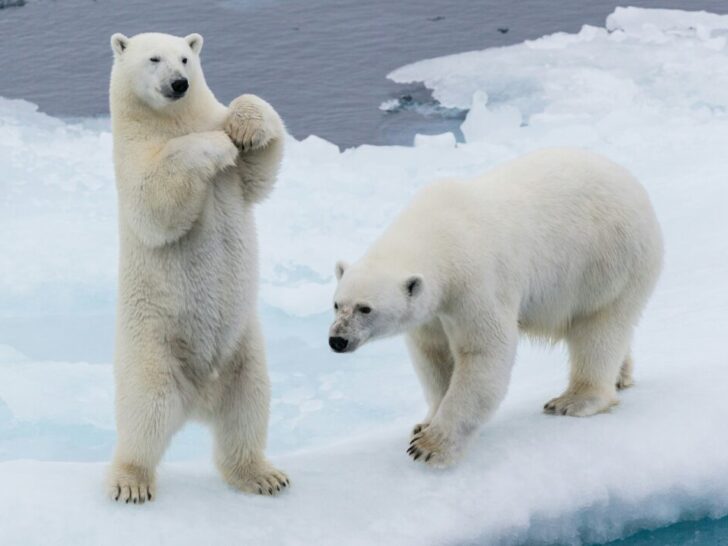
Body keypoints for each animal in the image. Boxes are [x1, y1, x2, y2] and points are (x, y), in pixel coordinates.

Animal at [107, 31, 288, 503]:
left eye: (186, 58)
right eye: (154, 59)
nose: (179, 84)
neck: (171, 120)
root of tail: (199, 400)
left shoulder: (237, 177)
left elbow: (261, 170)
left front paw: (243, 127)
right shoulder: (132, 156)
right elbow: (155, 202)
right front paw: (217, 145)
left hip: (243, 352)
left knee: (247, 408)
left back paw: (263, 475)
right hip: (151, 348)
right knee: (145, 414)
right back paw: (130, 481)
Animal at [329, 147, 663, 467]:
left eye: (365, 308)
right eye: (336, 304)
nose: (337, 340)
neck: (439, 232)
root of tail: (635, 186)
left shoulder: (475, 281)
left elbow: (484, 351)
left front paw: (430, 447)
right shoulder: (433, 310)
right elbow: (433, 355)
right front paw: (424, 423)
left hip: (608, 261)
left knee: (599, 329)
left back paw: (574, 400)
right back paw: (621, 375)